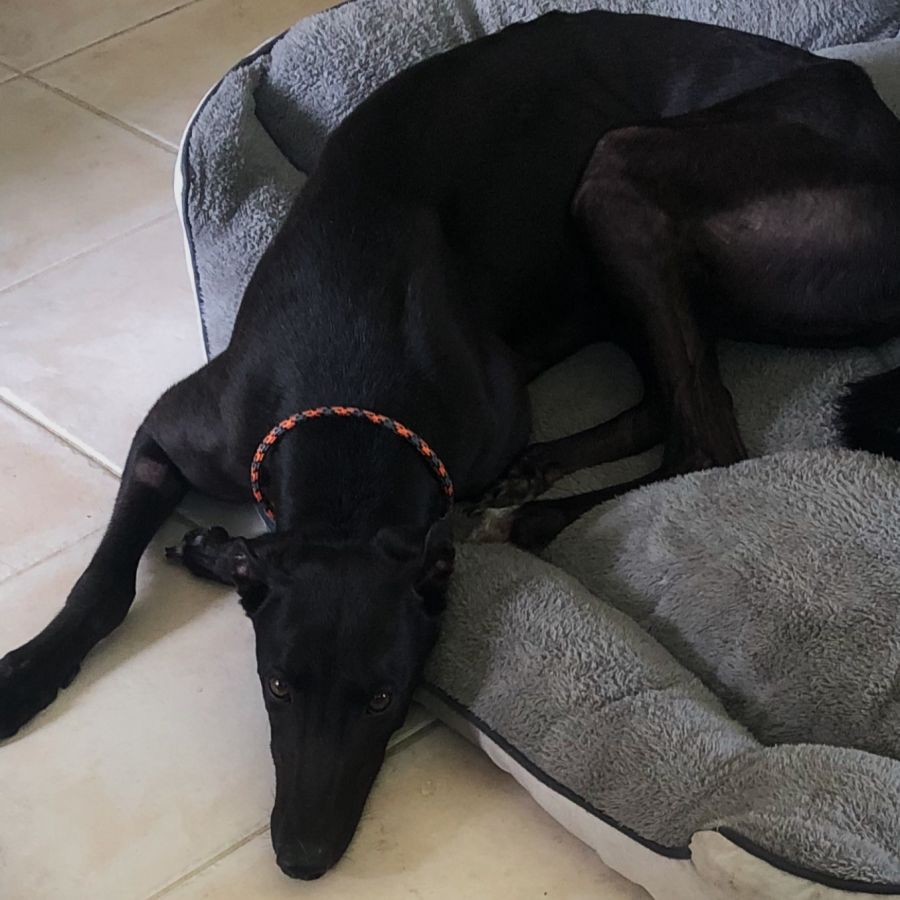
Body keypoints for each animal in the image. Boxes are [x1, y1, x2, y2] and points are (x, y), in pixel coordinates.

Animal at [2, 10, 899, 881]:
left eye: (384, 697)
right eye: (277, 685)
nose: (302, 857)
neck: (352, 411)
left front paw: (217, 553)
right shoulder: (177, 433)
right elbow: (105, 584)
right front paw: (34, 668)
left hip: (629, 176)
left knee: (703, 436)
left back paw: (530, 517)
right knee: (668, 407)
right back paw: (534, 478)